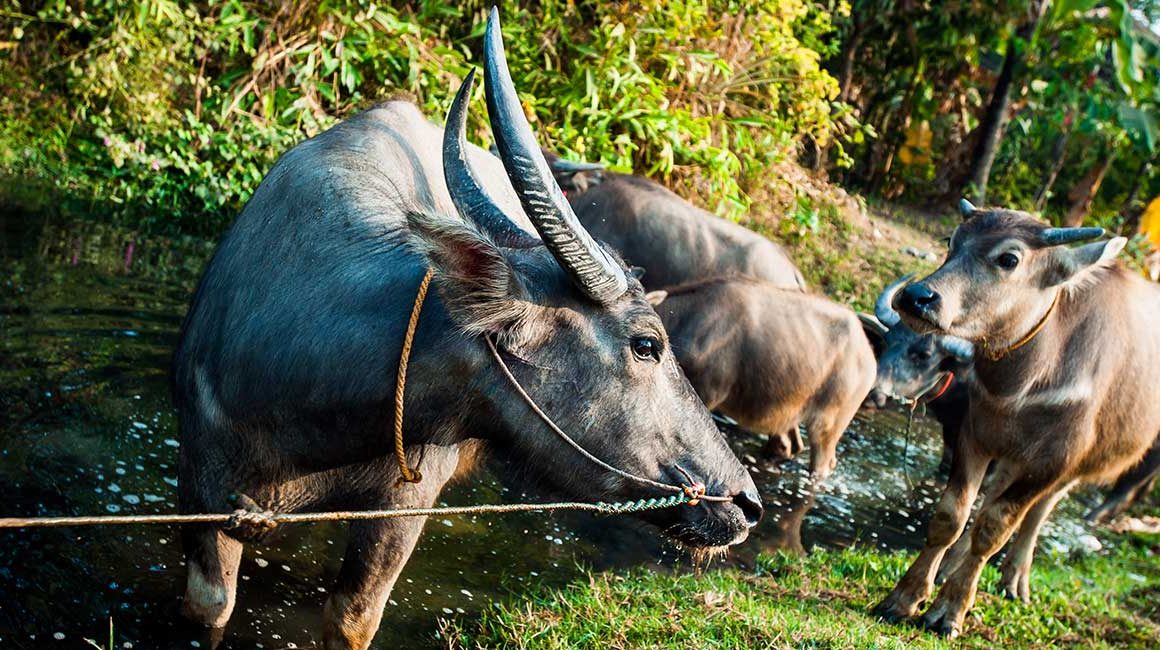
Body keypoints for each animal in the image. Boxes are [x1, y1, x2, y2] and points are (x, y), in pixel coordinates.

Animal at [168, 11, 756, 650]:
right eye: (647, 344)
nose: (745, 501)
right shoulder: (202, 480)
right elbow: (210, 605)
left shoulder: (404, 503)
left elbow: (352, 619)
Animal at [872, 198, 1155, 636]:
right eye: (952, 241)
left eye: (1009, 258)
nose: (917, 296)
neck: (1022, 386)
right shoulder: (974, 437)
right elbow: (951, 515)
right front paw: (905, 597)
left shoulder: (1051, 462)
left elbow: (995, 526)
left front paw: (949, 611)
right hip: (1011, 454)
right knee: (995, 496)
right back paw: (954, 567)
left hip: (1078, 466)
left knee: (1042, 509)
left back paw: (1015, 578)